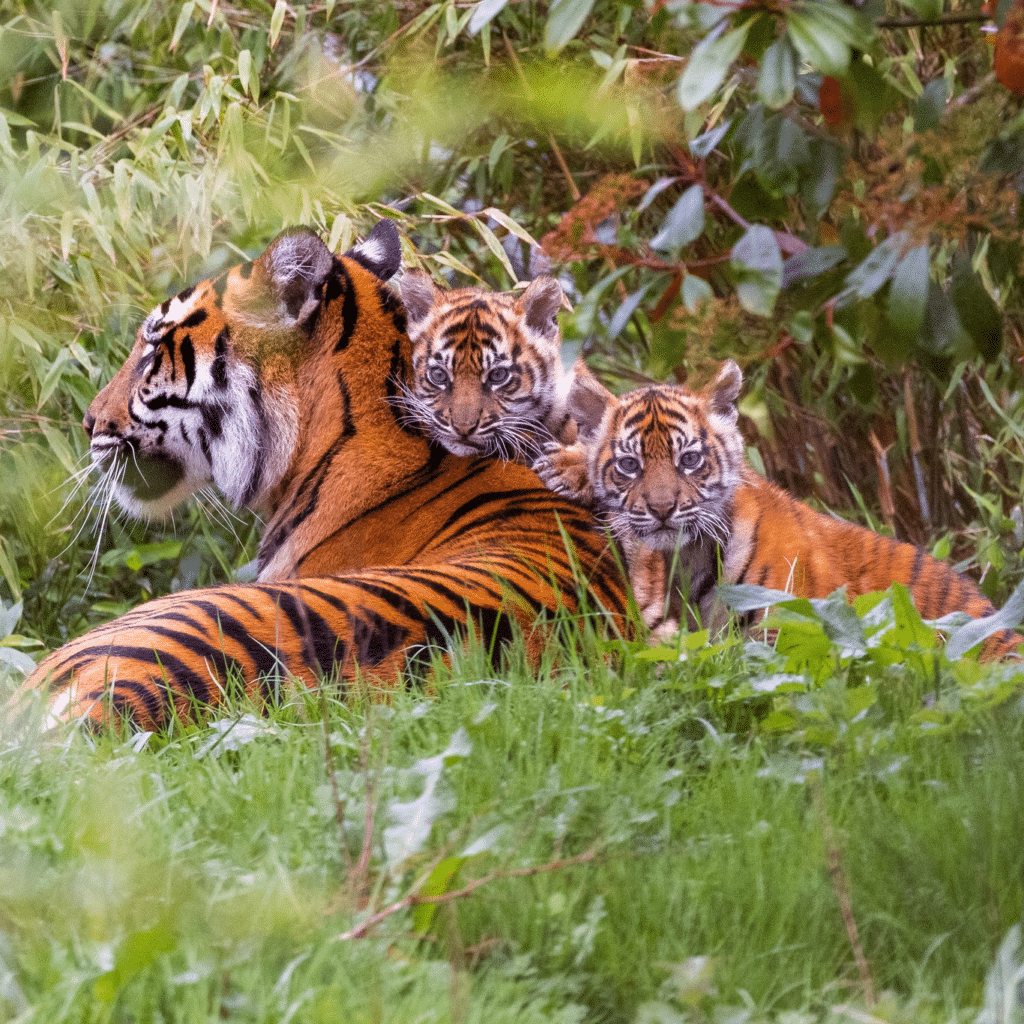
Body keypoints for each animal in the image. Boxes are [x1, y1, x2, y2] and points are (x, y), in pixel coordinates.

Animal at [534, 360, 1022, 659]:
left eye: (688, 460)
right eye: (629, 465)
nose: (662, 508)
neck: (685, 558)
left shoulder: (785, 632)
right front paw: (567, 465)